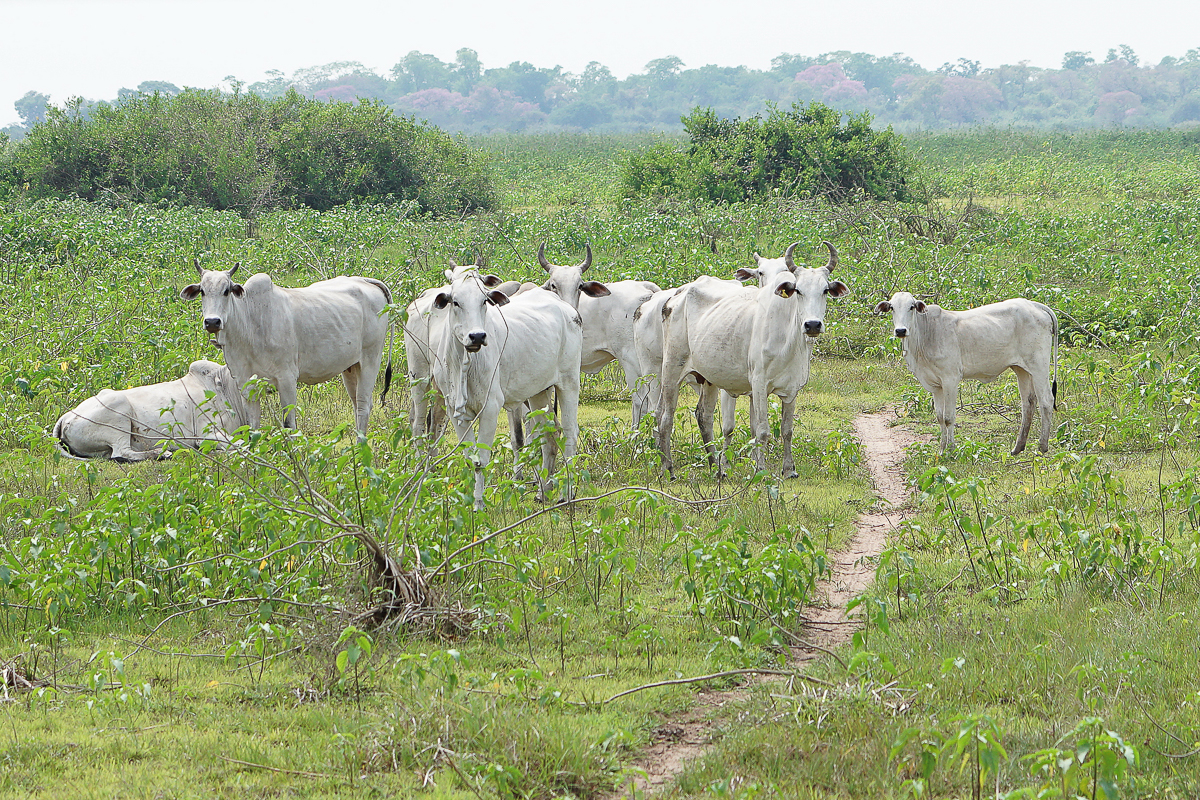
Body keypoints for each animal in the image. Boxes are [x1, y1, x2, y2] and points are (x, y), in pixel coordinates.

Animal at [180, 262, 393, 434]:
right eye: (202, 291)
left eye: (226, 290)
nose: (212, 321)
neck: (249, 322)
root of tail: (365, 281)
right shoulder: (246, 384)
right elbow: (253, 427)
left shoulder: (287, 379)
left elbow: (289, 425)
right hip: (350, 367)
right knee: (356, 404)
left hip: (370, 360)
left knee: (364, 406)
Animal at [429, 268, 583, 506]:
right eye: (455, 302)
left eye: (484, 300)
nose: (477, 336)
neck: (464, 362)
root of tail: (567, 308)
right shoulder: (455, 410)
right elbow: (469, 458)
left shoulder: (491, 407)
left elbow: (481, 459)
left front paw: (479, 504)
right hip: (538, 392)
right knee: (550, 433)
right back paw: (543, 491)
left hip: (569, 382)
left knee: (569, 432)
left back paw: (567, 493)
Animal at [657, 242, 844, 474]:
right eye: (798, 291)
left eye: (825, 290)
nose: (812, 325)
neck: (789, 339)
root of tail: (676, 295)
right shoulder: (759, 384)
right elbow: (762, 431)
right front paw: (761, 470)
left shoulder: (792, 388)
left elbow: (786, 430)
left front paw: (789, 469)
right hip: (672, 369)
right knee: (665, 417)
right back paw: (668, 468)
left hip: (708, 378)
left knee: (704, 416)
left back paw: (716, 468)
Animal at [873, 293, 1060, 455]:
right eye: (892, 307)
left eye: (911, 306)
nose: (900, 331)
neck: (926, 335)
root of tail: (1033, 305)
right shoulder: (935, 386)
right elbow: (939, 417)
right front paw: (941, 450)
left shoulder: (950, 379)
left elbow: (948, 417)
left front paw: (951, 450)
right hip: (1021, 369)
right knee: (1028, 403)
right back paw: (1018, 447)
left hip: (1039, 365)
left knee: (1046, 401)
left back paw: (1042, 446)